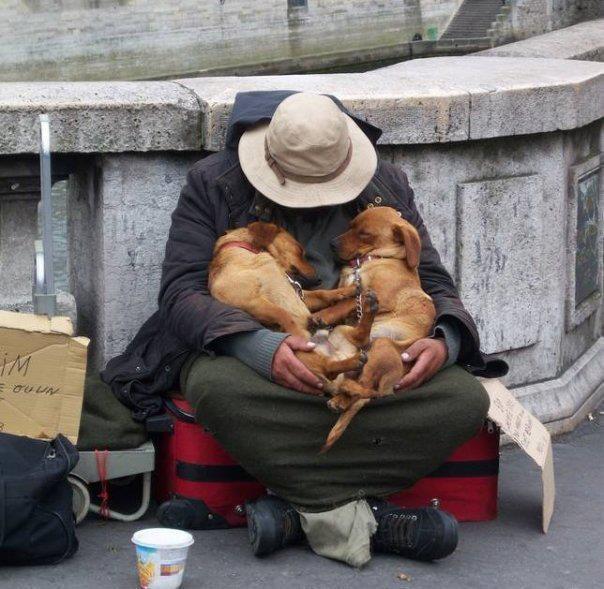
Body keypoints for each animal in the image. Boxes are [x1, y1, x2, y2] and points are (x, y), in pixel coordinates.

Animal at [209, 220, 378, 396]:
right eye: (300, 250)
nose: (318, 278)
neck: (251, 254)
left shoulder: (300, 294)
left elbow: (321, 294)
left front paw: (346, 291)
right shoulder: (251, 301)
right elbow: (282, 313)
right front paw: (298, 332)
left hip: (340, 332)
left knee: (360, 339)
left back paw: (369, 306)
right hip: (303, 355)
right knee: (327, 367)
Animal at [318, 207, 436, 450]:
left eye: (365, 234)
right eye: (350, 225)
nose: (332, 244)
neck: (371, 260)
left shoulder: (380, 295)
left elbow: (349, 301)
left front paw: (323, 314)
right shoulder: (347, 287)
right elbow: (339, 296)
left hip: (380, 346)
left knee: (366, 387)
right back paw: (341, 396)